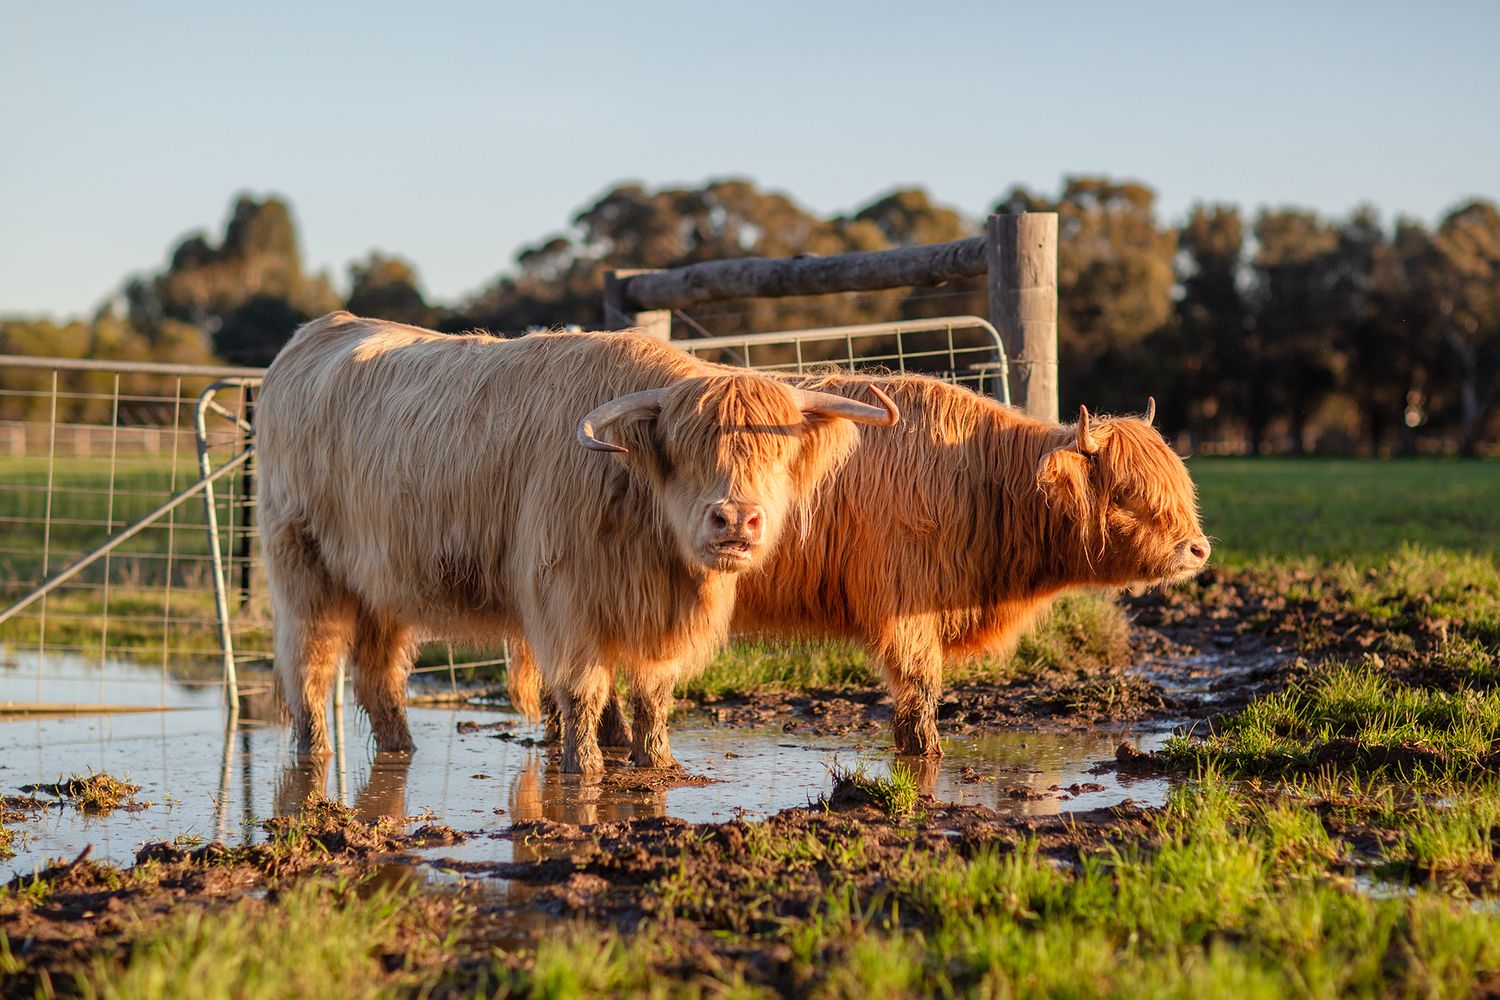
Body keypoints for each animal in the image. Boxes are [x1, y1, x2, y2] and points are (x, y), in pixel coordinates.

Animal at [254, 313, 898, 775]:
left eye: (776, 453)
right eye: (686, 452)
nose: (735, 519)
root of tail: (319, 331)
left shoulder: (651, 616)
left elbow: (651, 691)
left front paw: (656, 761)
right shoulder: (565, 597)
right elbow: (584, 690)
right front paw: (582, 767)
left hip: (380, 582)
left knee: (377, 673)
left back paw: (399, 749)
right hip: (302, 564)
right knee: (309, 664)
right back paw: (315, 753)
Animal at [511, 370, 1209, 757]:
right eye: (1129, 492)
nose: (1198, 549)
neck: (981, 478)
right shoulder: (904, 608)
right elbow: (919, 691)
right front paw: (924, 752)